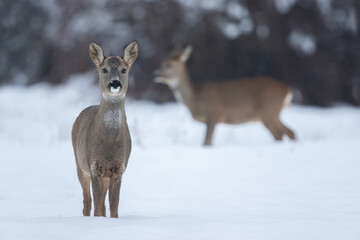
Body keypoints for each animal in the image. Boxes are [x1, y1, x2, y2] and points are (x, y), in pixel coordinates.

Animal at [71, 40, 138, 218]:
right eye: (104, 69)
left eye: (123, 69)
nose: (115, 83)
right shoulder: (94, 167)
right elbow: (98, 208)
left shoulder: (119, 169)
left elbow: (114, 208)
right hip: (80, 165)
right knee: (87, 201)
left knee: (102, 204)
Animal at [153, 46, 296, 145]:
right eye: (161, 62)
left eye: (169, 65)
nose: (156, 74)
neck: (195, 97)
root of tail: (287, 89)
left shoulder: (214, 114)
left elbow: (206, 143)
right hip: (272, 114)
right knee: (290, 132)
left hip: (268, 111)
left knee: (280, 135)